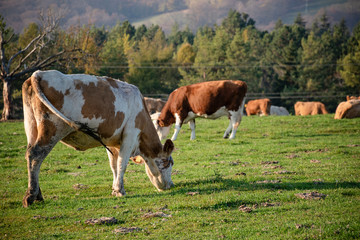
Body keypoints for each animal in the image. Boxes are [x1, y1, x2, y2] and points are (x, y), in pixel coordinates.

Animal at [21, 70, 175, 208]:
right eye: (168, 163)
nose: (171, 185)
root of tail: (39, 74)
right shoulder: (130, 135)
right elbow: (122, 164)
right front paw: (120, 190)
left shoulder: (112, 142)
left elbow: (114, 165)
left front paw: (114, 189)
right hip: (53, 127)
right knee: (36, 155)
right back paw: (31, 195)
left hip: (31, 126)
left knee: (30, 156)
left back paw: (38, 194)